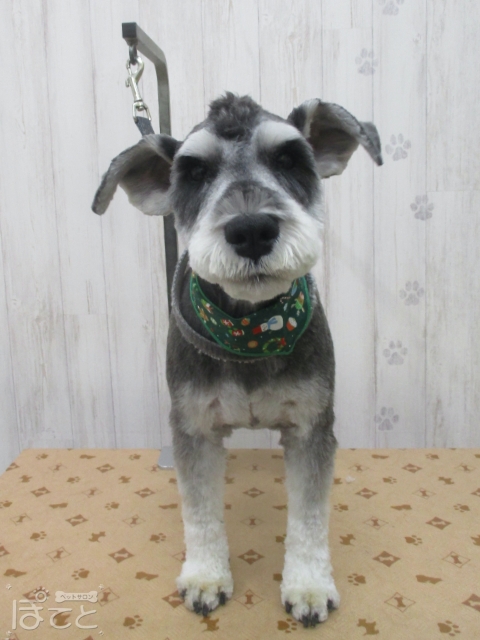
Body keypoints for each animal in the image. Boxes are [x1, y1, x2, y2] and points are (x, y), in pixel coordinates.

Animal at [92, 93, 382, 627]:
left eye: (289, 160)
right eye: (195, 173)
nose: (251, 229)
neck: (251, 331)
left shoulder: (312, 427)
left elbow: (310, 515)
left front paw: (308, 586)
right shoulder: (193, 428)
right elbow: (200, 512)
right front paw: (206, 577)